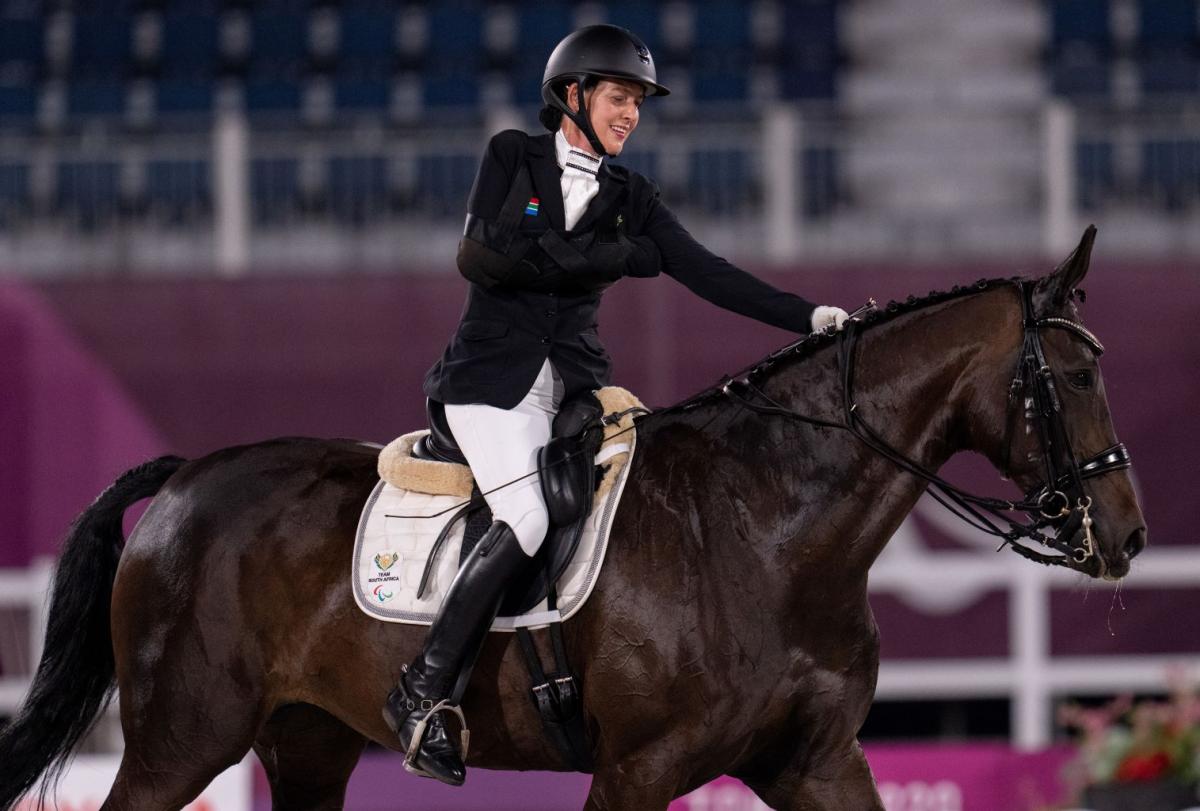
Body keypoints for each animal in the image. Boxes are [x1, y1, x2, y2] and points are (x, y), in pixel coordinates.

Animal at [0, 229, 1142, 811]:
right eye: (1075, 375)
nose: (1125, 534)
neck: (771, 528)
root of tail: (189, 475)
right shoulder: (639, 768)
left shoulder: (817, 760)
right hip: (181, 741)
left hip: (307, 743)